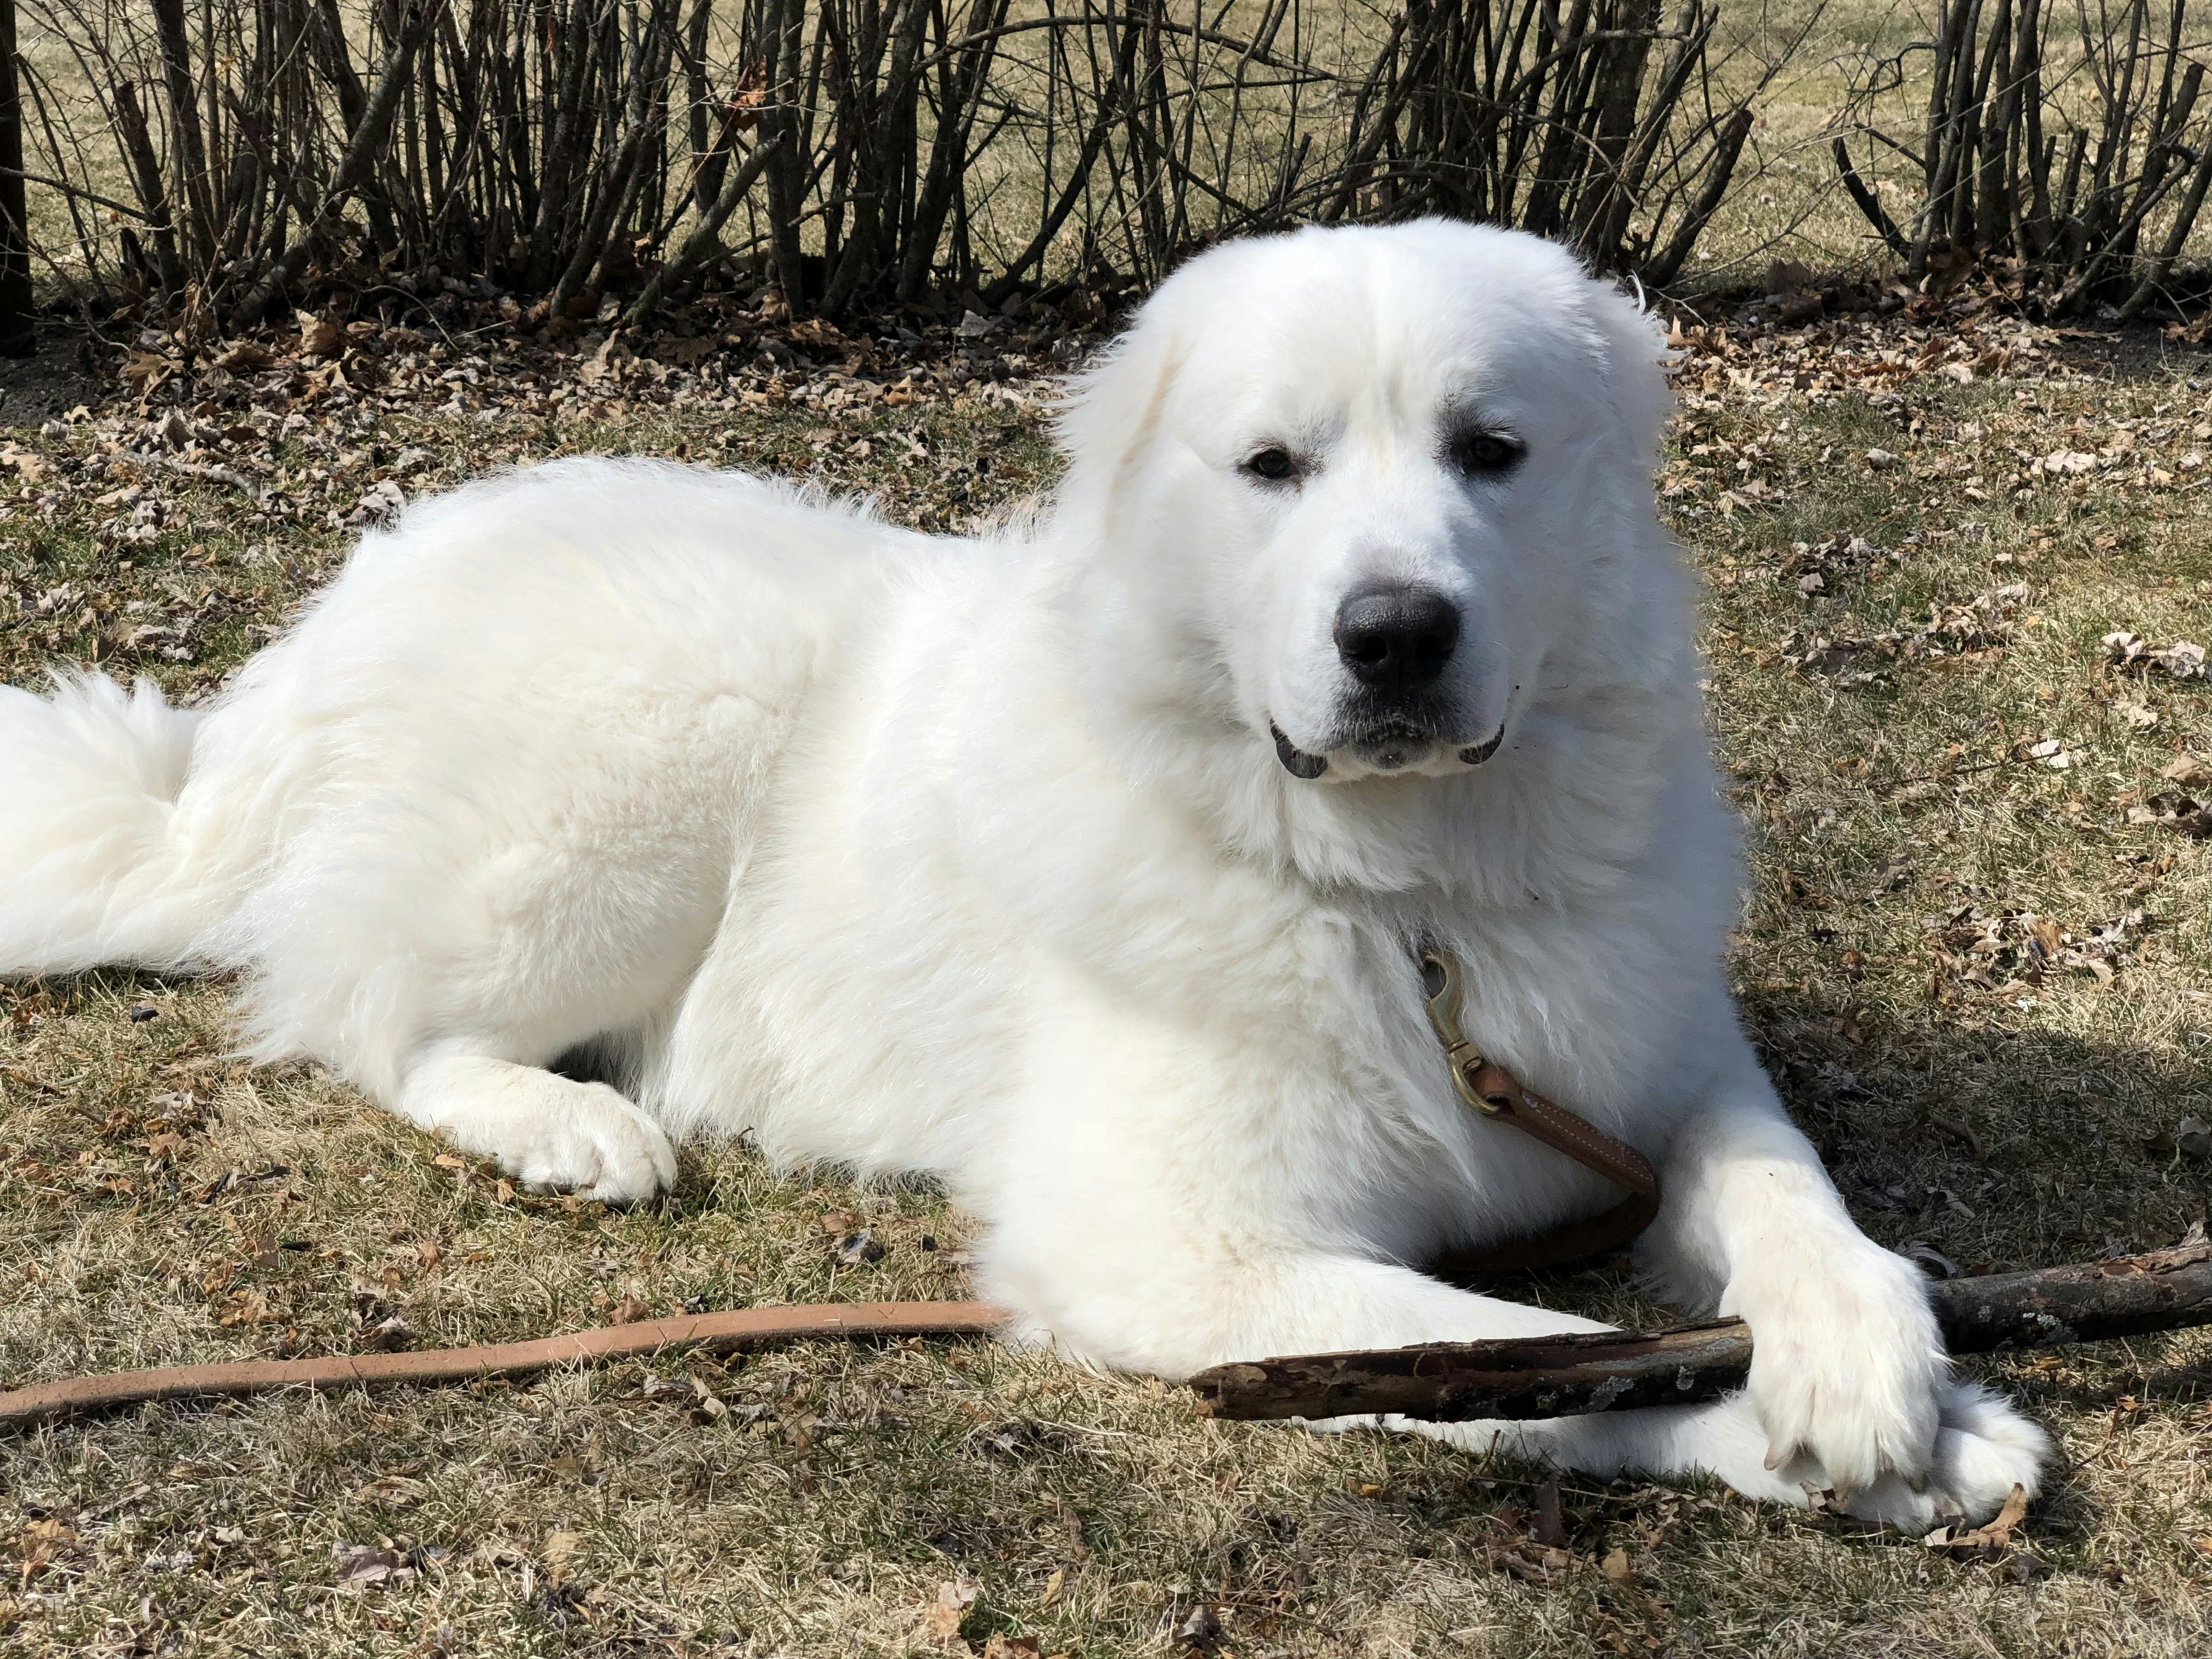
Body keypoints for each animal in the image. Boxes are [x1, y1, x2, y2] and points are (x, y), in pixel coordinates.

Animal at [0, 221, 2035, 1531]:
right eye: (1272, 467)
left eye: (1493, 454)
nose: (1395, 633)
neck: (1406, 902)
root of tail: (331, 619)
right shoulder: (1177, 1256)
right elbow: (1545, 1356)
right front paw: (1874, 1437)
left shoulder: (1650, 1068)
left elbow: (1778, 1179)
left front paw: (1866, 1354)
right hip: (642, 774)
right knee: (373, 1017)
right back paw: (570, 1125)